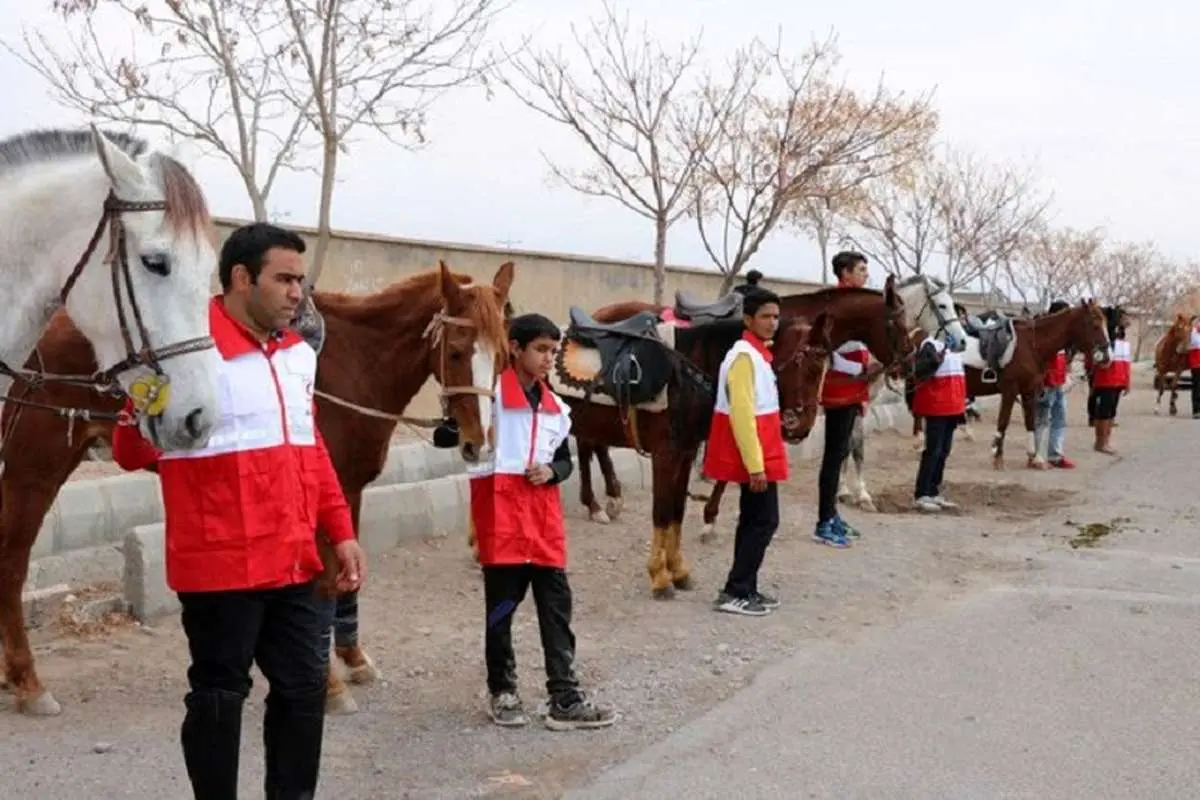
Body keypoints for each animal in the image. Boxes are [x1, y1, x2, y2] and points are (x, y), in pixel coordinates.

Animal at [0, 262, 511, 719]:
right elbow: (324, 584)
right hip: (34, 469)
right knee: (13, 562)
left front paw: (354, 658)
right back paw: (28, 682)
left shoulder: (347, 490)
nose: (478, 442)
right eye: (458, 351)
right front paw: (329, 686)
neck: (352, 364)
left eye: (503, 355)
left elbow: (347, 580)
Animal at [840, 275, 969, 510]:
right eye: (942, 305)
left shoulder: (861, 404)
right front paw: (853, 493)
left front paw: (854, 493)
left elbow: (854, 445)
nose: (962, 340)